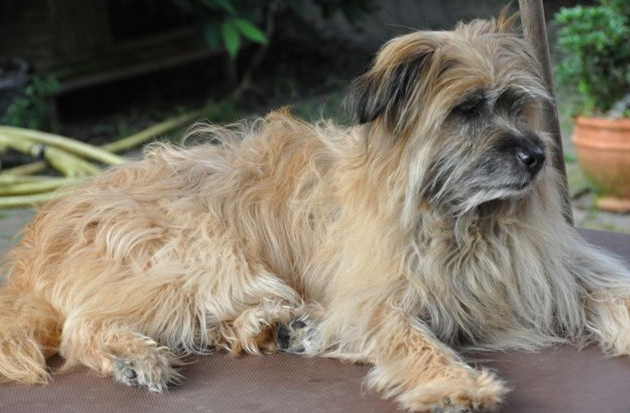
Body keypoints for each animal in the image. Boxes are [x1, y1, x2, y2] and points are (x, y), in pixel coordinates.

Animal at [2, 11, 630, 412]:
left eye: (519, 105)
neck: (463, 219)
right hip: (204, 258)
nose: (537, 157)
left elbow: (611, 292)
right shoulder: (375, 299)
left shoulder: (546, 272)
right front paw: (453, 386)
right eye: (468, 110)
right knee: (85, 324)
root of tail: (35, 243)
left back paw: (276, 327)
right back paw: (136, 356)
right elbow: (410, 339)